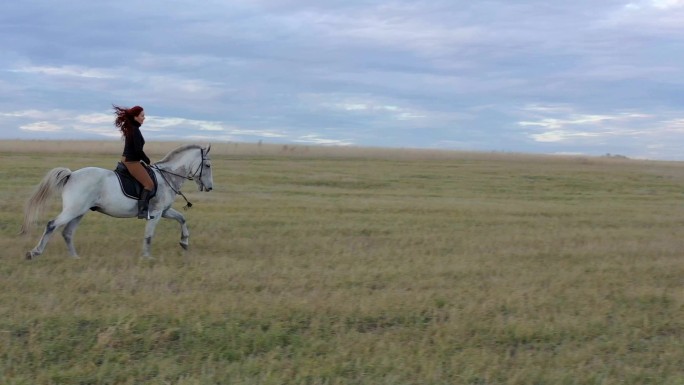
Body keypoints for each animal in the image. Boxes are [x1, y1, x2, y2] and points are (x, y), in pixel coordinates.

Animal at [20, 143, 214, 258]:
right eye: (208, 165)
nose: (210, 187)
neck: (167, 176)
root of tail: (72, 175)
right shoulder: (156, 212)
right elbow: (149, 235)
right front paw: (147, 257)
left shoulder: (165, 211)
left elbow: (182, 218)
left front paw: (184, 242)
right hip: (73, 210)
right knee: (52, 225)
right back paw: (35, 252)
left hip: (79, 212)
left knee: (67, 233)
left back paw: (75, 257)